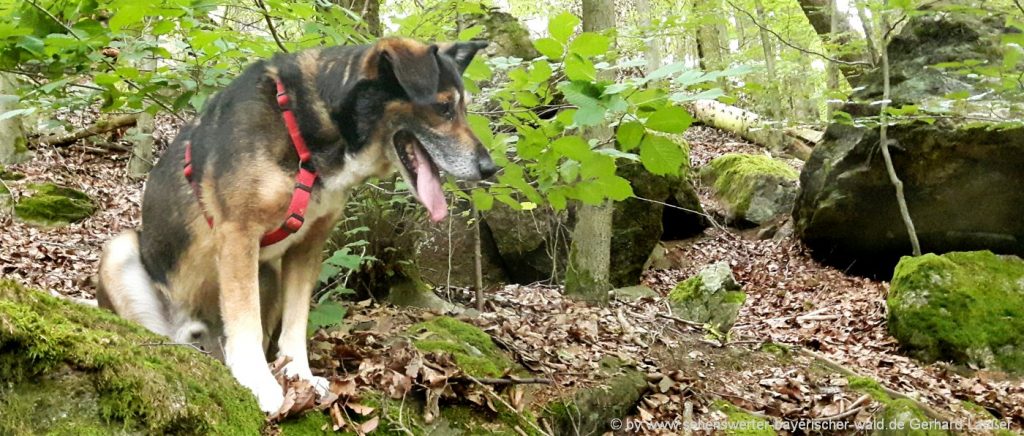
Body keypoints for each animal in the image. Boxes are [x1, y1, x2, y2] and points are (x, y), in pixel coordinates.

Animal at [96, 37, 495, 411]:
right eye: (444, 107)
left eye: (462, 107)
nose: (490, 168)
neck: (308, 128)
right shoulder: (239, 233)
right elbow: (246, 321)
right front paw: (258, 382)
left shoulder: (307, 247)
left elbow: (295, 321)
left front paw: (299, 375)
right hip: (121, 251)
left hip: (267, 272)